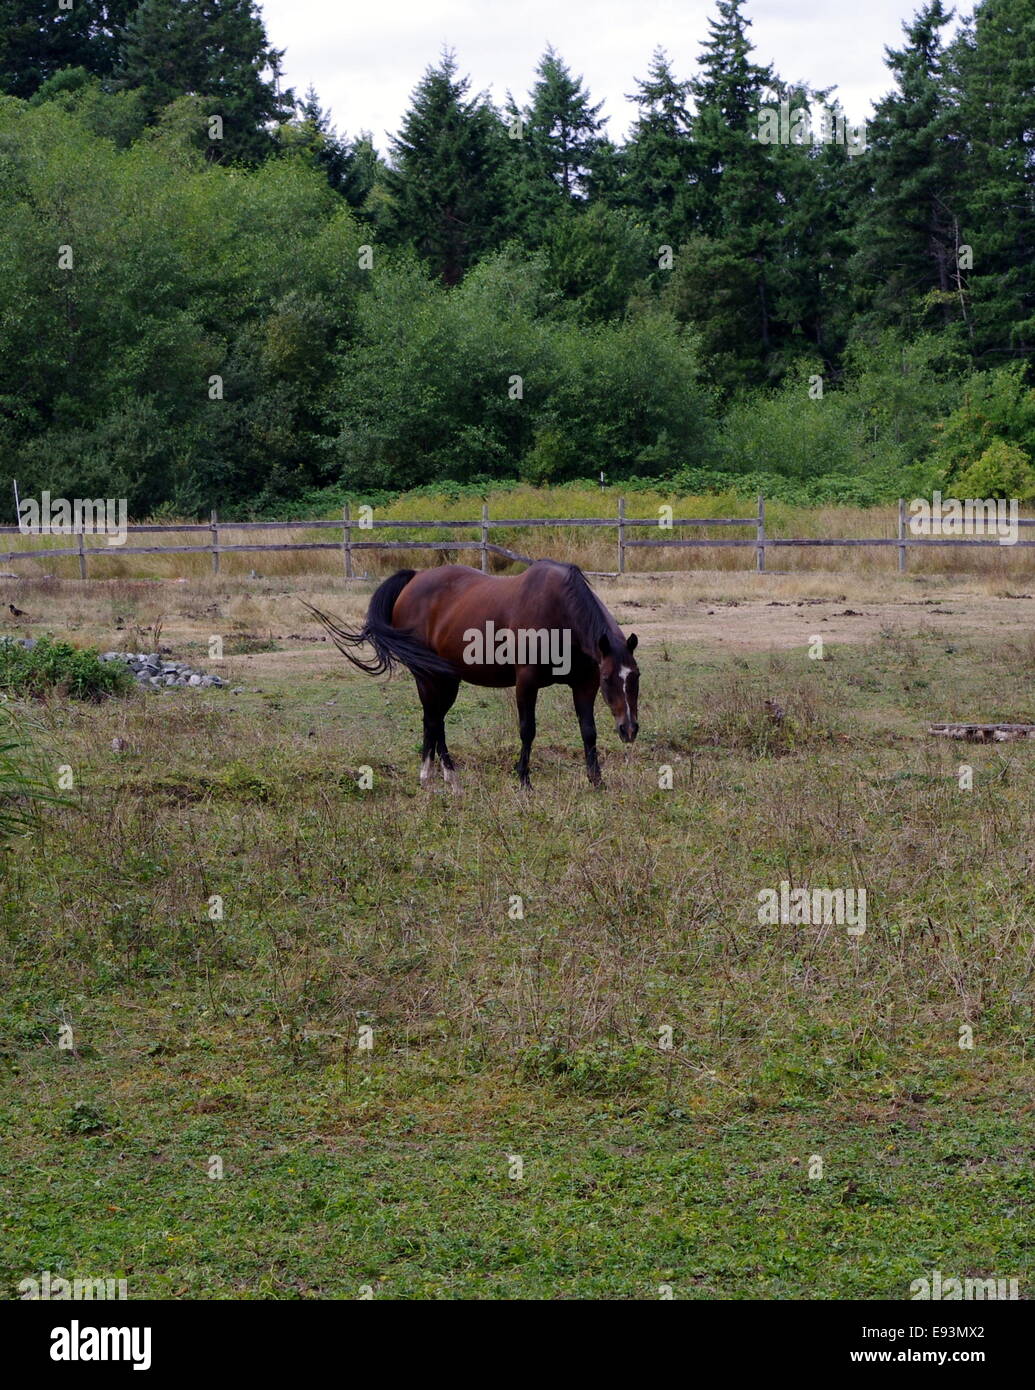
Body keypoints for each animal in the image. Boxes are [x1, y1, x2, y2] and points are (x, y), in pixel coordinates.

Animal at [304, 560, 639, 789]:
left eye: (636, 678)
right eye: (609, 680)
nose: (629, 729)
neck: (559, 615)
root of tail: (415, 578)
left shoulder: (584, 685)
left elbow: (588, 731)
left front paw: (597, 781)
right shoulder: (526, 683)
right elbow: (527, 730)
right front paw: (524, 781)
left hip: (446, 680)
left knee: (435, 721)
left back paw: (441, 777)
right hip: (428, 676)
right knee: (433, 719)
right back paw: (439, 776)